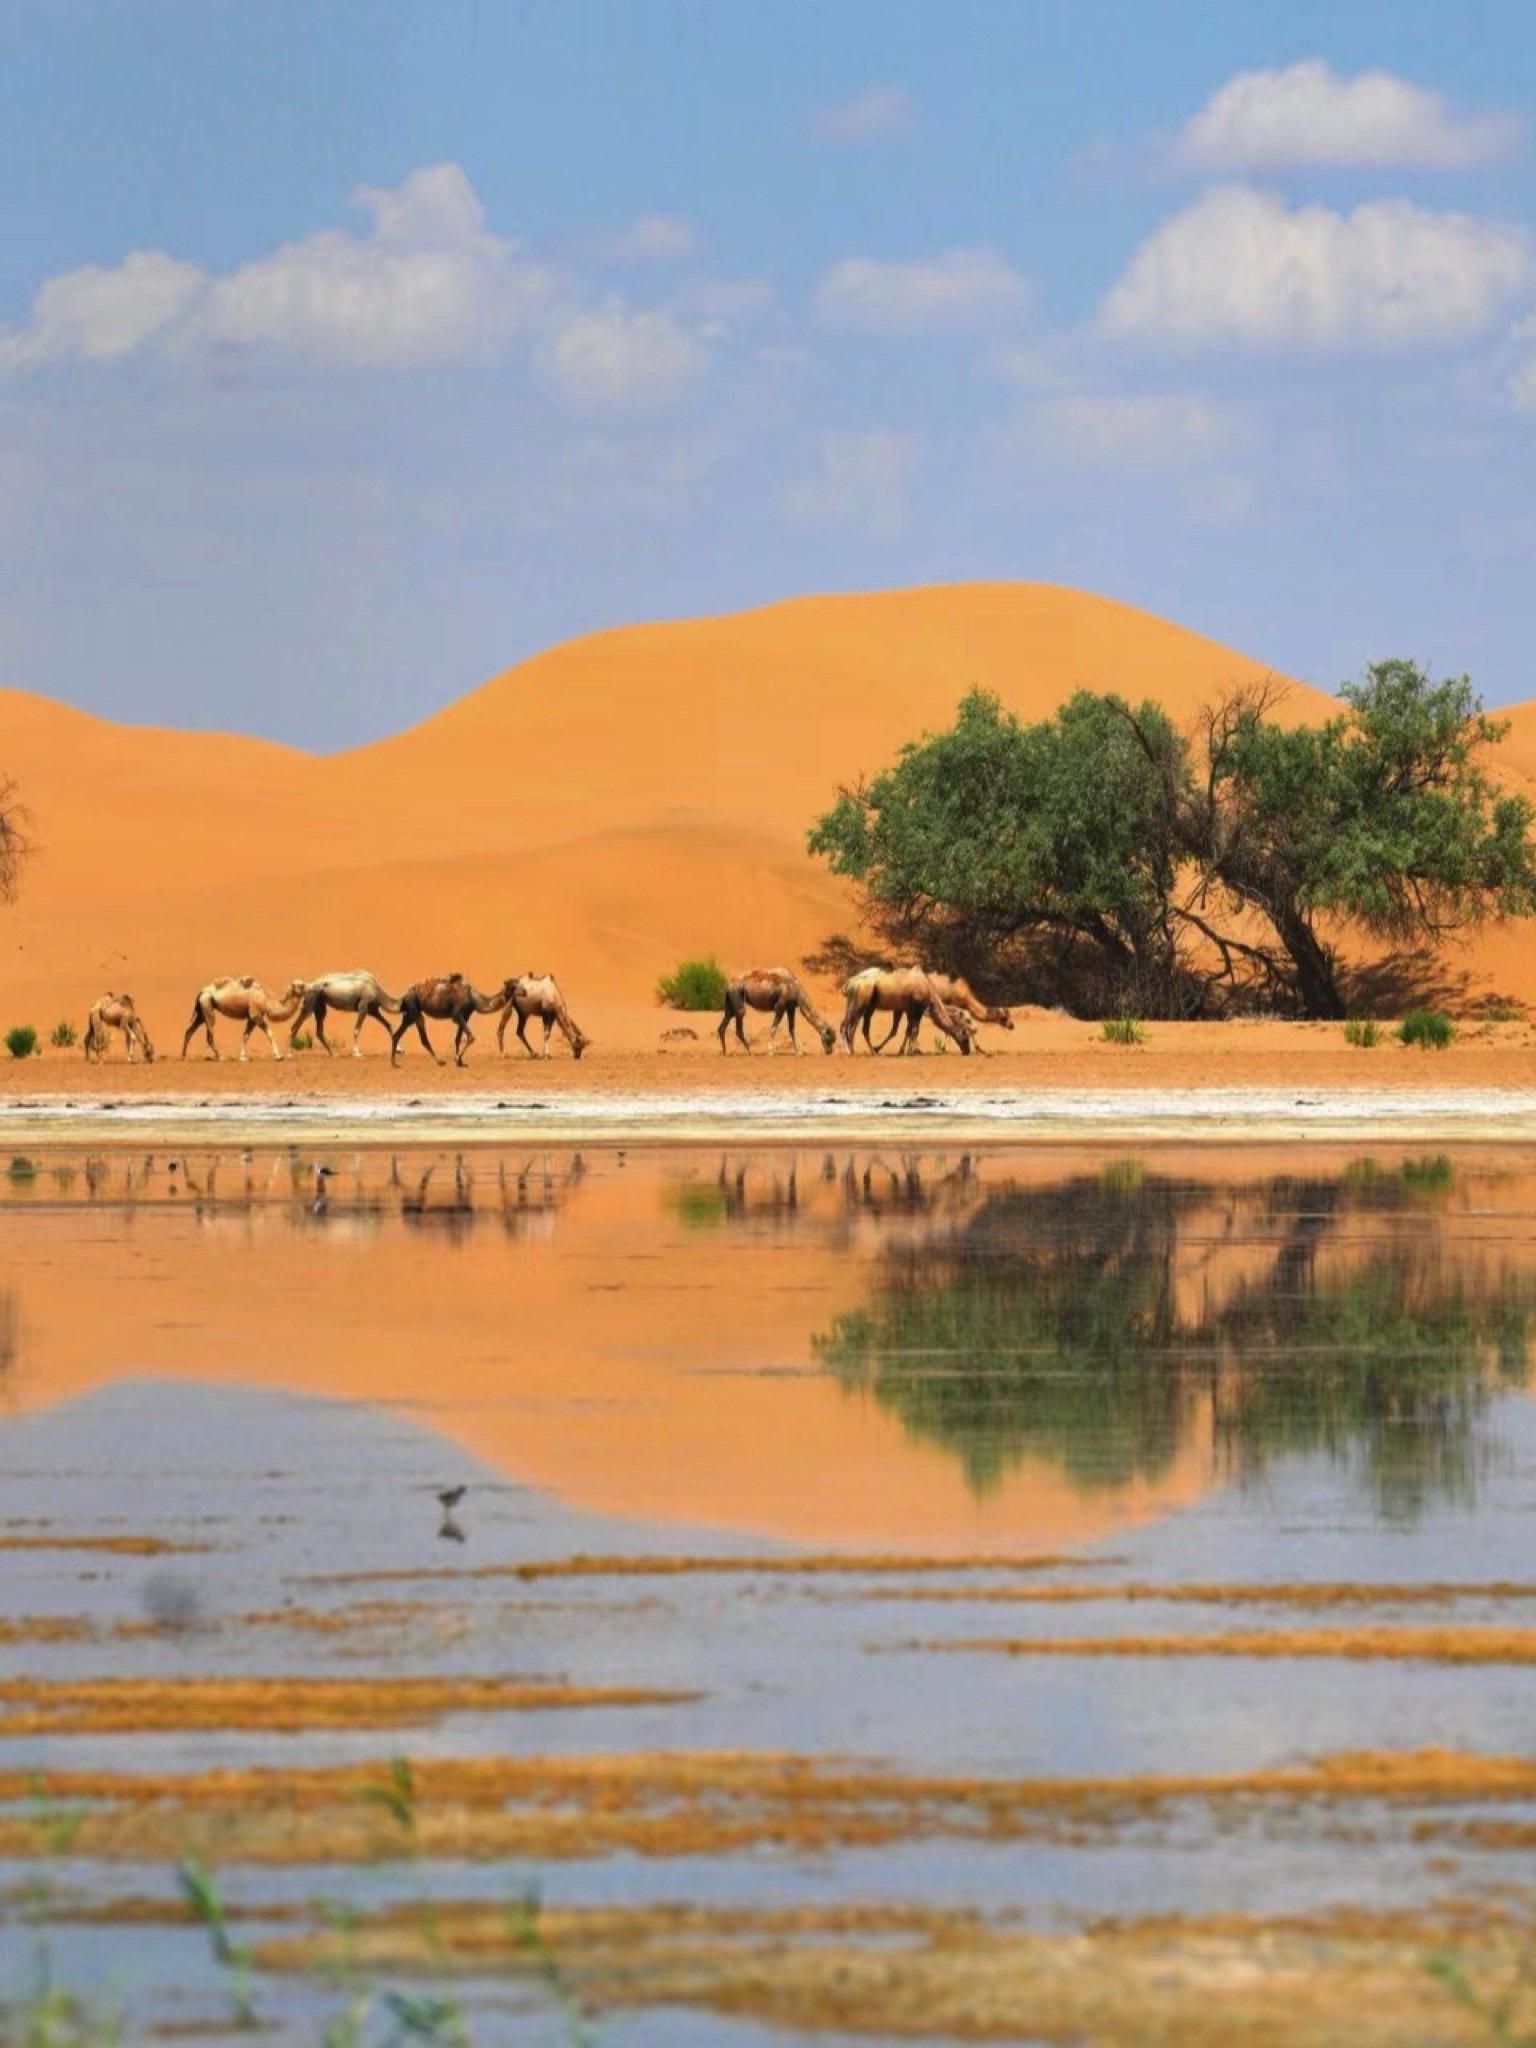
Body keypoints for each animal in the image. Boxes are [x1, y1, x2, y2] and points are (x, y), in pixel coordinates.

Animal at [843, 962, 974, 1056]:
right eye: (965, 1037)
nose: (967, 1051)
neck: (929, 988)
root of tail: (851, 982)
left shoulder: (906, 1009)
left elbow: (907, 1030)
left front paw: (905, 1051)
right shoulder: (917, 1008)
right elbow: (914, 1030)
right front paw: (912, 1051)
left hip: (864, 1006)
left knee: (854, 1026)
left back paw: (861, 1050)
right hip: (861, 1005)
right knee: (852, 1026)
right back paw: (856, 1051)